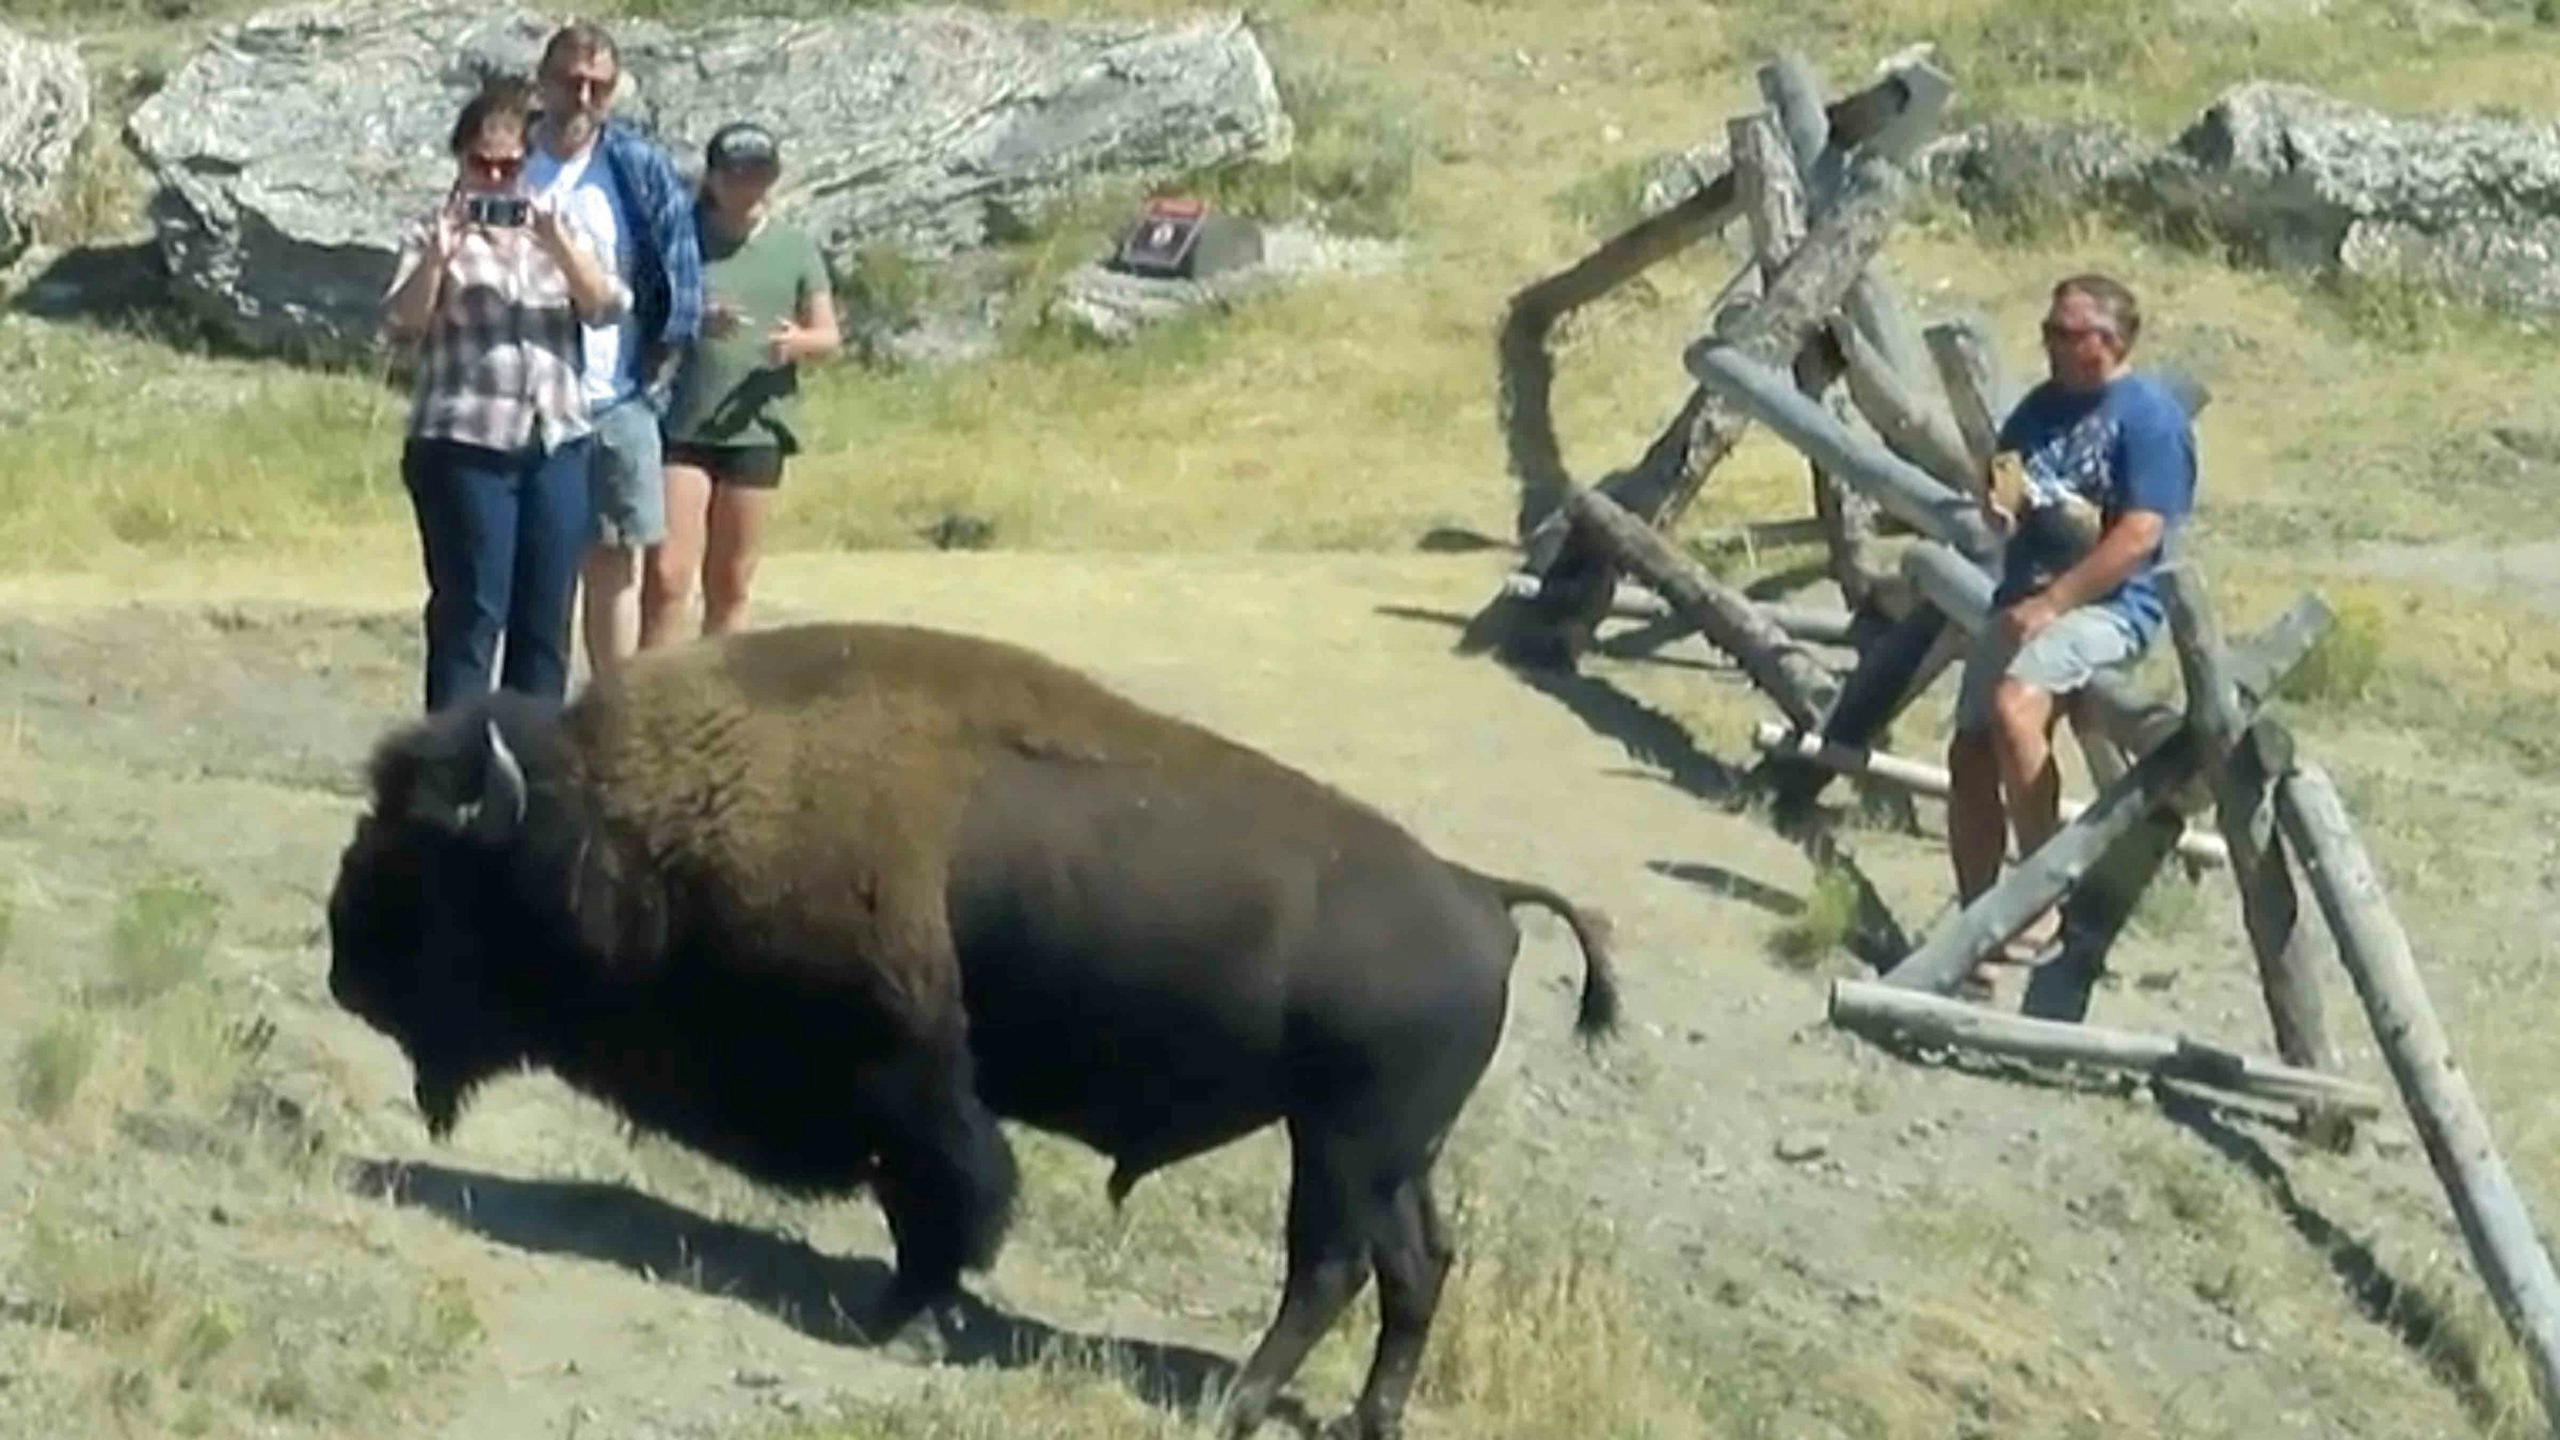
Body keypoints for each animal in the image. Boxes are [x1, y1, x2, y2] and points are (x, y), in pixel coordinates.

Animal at [327, 622, 1618, 1439]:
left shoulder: (908, 1081)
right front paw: (898, 1307)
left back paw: (1239, 1408)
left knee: (1331, 1266)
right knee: (1415, 1266)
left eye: (429, 867)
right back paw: (1364, 1418)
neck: (632, 817)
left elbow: (947, 1198)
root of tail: (1481, 894)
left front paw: (891, 1315)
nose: (343, 962)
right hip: (1389, 1154)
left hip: (1342, 1146)